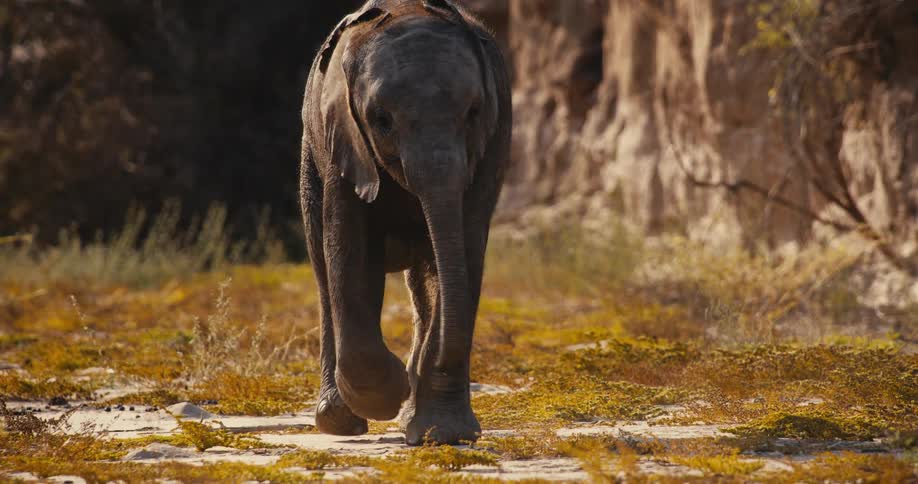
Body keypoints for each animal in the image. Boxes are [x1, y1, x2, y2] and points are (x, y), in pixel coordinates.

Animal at [299, 0, 511, 445]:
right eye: (381, 119)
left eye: (474, 113)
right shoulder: (343, 138)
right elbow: (348, 248)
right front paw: (388, 397)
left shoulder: (493, 142)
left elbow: (462, 250)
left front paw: (443, 433)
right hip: (310, 154)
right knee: (323, 270)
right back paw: (341, 422)